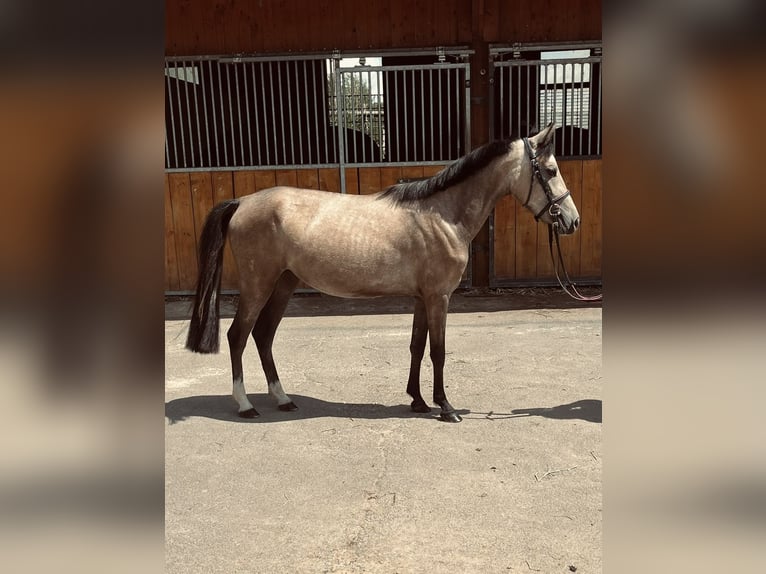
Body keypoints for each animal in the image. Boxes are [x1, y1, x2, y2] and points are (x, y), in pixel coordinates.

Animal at [188, 124, 584, 426]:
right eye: (550, 171)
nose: (572, 220)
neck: (442, 215)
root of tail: (242, 202)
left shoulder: (422, 298)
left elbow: (417, 346)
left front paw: (418, 401)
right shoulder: (439, 297)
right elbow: (438, 351)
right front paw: (446, 408)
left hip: (283, 284)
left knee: (263, 336)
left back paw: (283, 399)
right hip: (258, 285)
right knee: (238, 336)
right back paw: (245, 405)